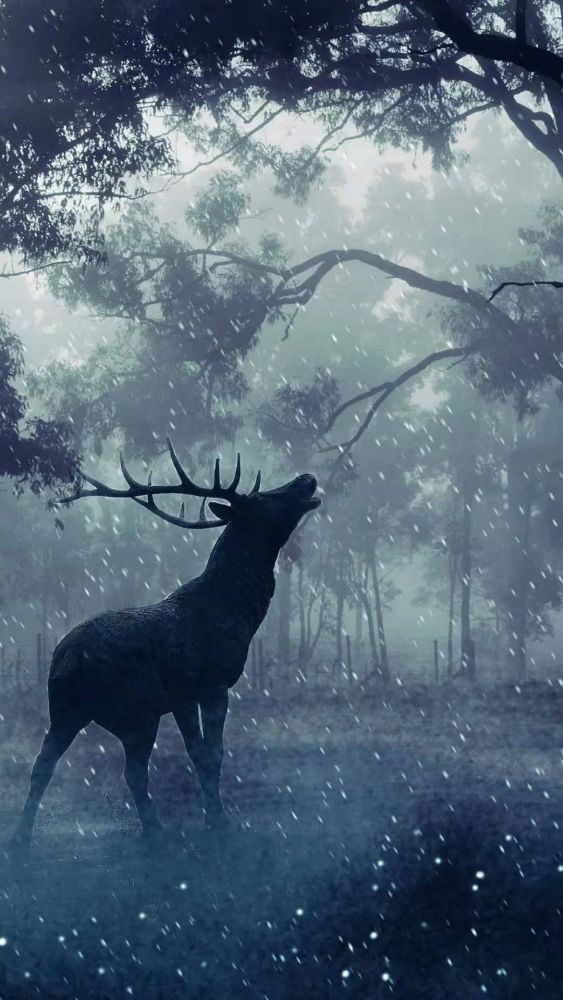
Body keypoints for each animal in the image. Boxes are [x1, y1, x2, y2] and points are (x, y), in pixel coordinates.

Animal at [9, 441, 320, 858]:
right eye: (262, 497)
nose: (307, 478)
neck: (237, 612)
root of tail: (68, 659)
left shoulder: (181, 697)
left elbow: (198, 753)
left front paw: (212, 818)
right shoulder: (209, 682)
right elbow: (211, 754)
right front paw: (220, 823)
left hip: (64, 708)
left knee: (45, 763)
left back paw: (22, 839)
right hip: (135, 709)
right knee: (132, 771)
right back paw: (156, 830)